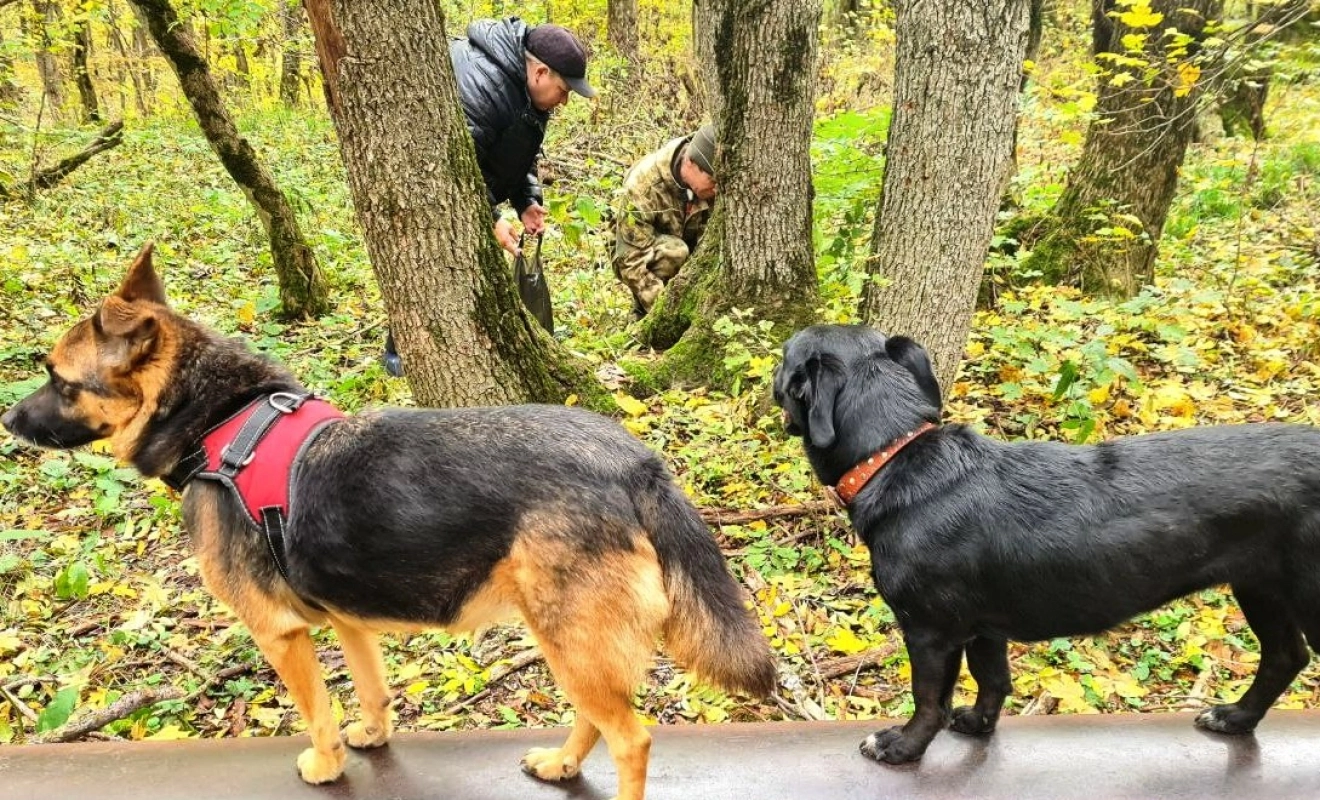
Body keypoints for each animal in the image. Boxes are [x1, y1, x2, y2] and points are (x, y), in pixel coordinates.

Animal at [2, 243, 776, 800]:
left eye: (58, 379)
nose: (8, 419)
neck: (218, 416)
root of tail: (633, 461)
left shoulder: (280, 634)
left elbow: (317, 711)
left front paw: (324, 764)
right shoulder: (348, 620)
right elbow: (369, 691)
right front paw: (371, 736)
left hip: (569, 634)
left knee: (632, 740)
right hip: (571, 638)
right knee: (598, 714)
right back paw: (560, 764)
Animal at [773, 323, 1320, 764]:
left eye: (784, 358)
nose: (773, 377)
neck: (895, 455)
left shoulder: (930, 630)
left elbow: (929, 700)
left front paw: (902, 747)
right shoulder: (983, 629)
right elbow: (993, 680)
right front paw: (979, 723)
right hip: (1260, 587)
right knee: (1285, 657)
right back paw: (1237, 718)